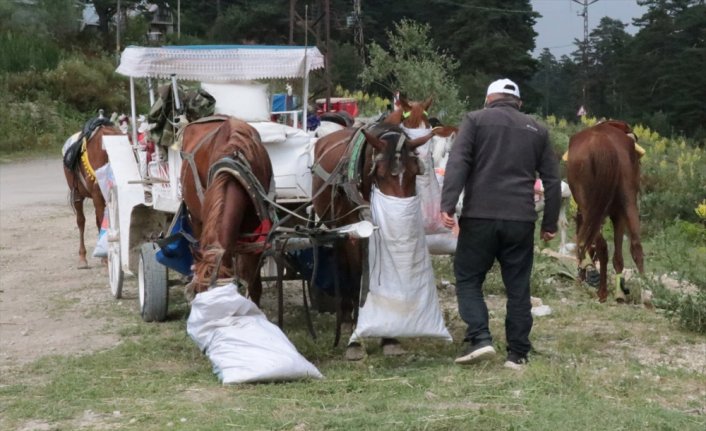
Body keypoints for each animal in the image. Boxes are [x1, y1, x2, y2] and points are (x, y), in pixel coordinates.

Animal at [564, 120, 640, 304]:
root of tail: (604, 146)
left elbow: (587, 242)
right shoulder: (617, 213)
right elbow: (618, 255)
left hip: (588, 203)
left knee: (602, 245)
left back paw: (602, 291)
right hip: (626, 202)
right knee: (633, 246)